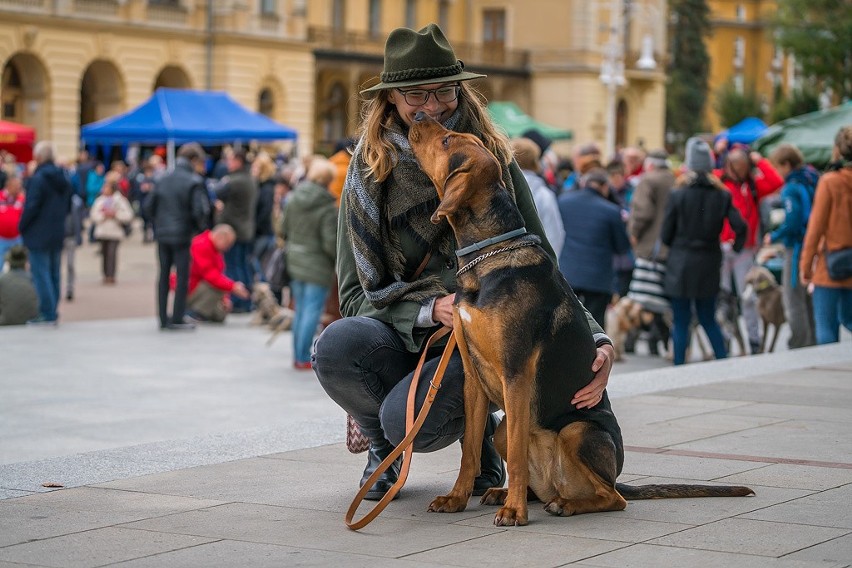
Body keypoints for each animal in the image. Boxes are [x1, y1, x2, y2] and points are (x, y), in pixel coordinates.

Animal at [410, 112, 748, 528]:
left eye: (447, 140)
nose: (419, 115)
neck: (489, 255)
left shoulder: (516, 375)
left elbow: (516, 457)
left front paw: (515, 513)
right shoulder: (473, 380)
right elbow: (469, 450)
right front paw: (457, 499)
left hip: (575, 431)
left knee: (612, 497)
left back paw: (559, 503)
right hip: (504, 430)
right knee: (537, 473)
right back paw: (513, 494)